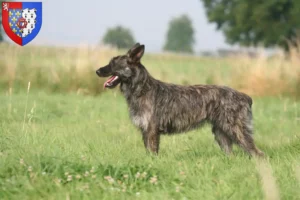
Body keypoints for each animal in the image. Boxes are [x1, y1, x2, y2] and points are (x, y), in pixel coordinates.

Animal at [95, 43, 262, 157]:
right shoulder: (145, 131)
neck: (141, 89)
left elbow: (153, 152)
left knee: (257, 153)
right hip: (222, 134)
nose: (97, 71)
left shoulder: (151, 131)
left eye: (113, 63)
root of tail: (245, 96)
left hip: (236, 131)